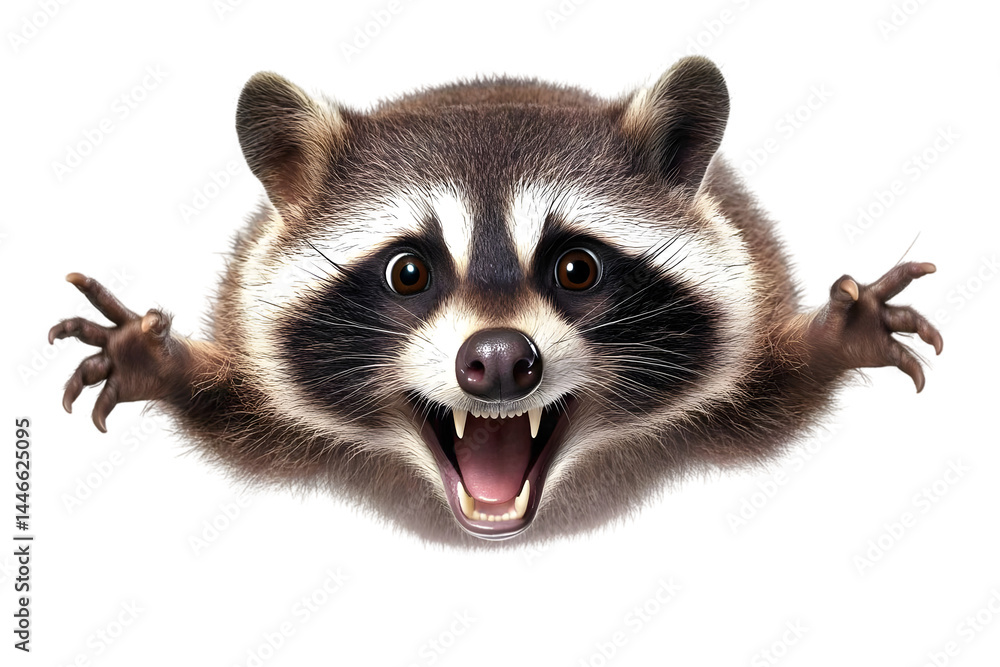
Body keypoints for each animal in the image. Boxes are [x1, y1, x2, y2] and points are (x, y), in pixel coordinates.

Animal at [49, 57, 942, 546]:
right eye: (408, 272)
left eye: (577, 268)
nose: (502, 359)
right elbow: (238, 414)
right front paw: (166, 362)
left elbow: (775, 392)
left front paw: (831, 333)